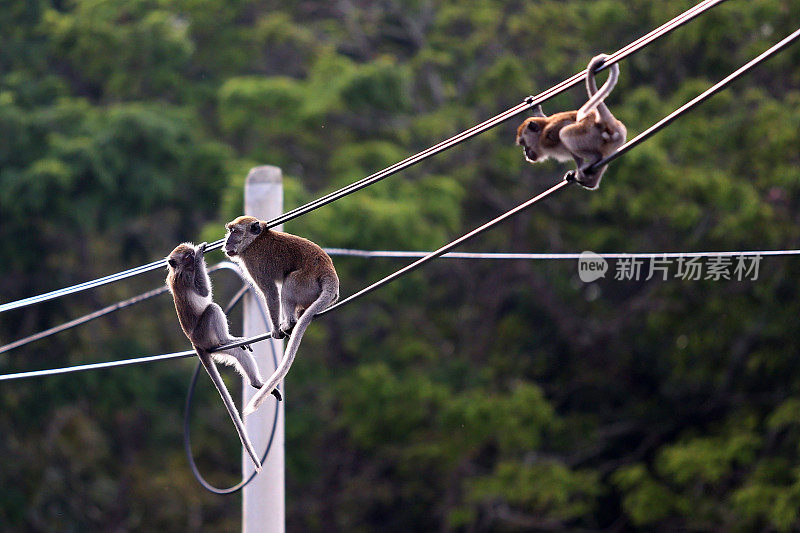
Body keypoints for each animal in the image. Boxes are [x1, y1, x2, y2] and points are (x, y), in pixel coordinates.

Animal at [166, 241, 282, 470]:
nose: (193, 257)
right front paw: (201, 255)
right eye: (187, 257)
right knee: (212, 309)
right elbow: (203, 292)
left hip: (212, 345)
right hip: (205, 334)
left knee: (236, 353)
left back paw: (256, 382)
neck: (180, 270)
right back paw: (228, 340)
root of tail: (196, 343)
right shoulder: (187, 277)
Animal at [223, 215, 340, 416]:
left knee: (289, 282)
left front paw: (276, 329)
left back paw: (289, 322)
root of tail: (328, 272)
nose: (227, 242)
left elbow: (270, 292)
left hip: (304, 282)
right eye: (229, 231)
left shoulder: (254, 262)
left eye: (235, 232)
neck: (254, 241)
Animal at [520, 53, 624, 189]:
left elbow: (564, 127)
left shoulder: (547, 135)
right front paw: (535, 107)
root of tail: (604, 123)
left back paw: (594, 160)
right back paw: (591, 182)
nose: (525, 152)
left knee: (565, 133)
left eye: (524, 143)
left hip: (591, 135)